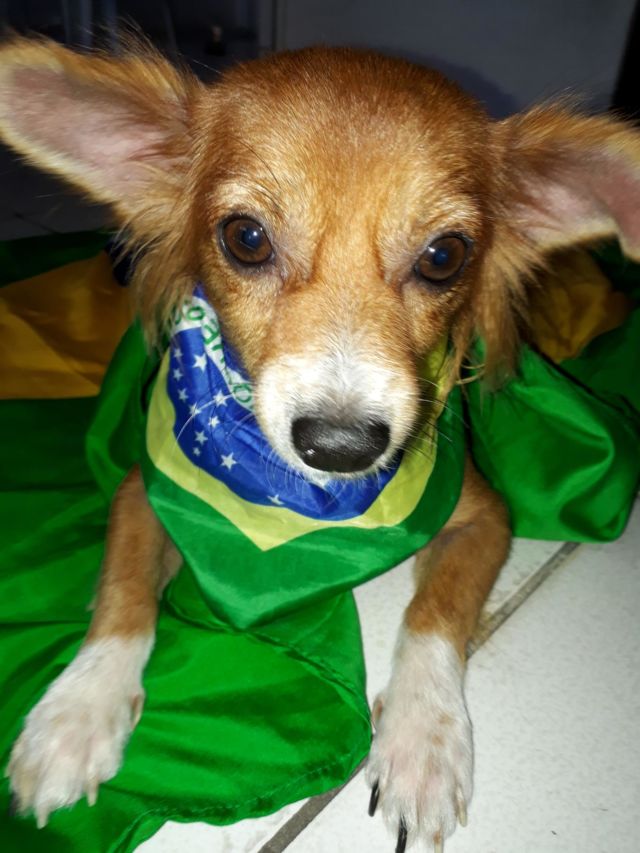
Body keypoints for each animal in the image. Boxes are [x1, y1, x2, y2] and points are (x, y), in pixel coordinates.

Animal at [1, 37, 639, 852]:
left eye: (445, 256)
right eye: (245, 239)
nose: (341, 446)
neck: (298, 512)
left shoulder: (485, 517)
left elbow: (433, 618)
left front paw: (423, 740)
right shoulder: (142, 489)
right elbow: (121, 594)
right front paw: (76, 711)